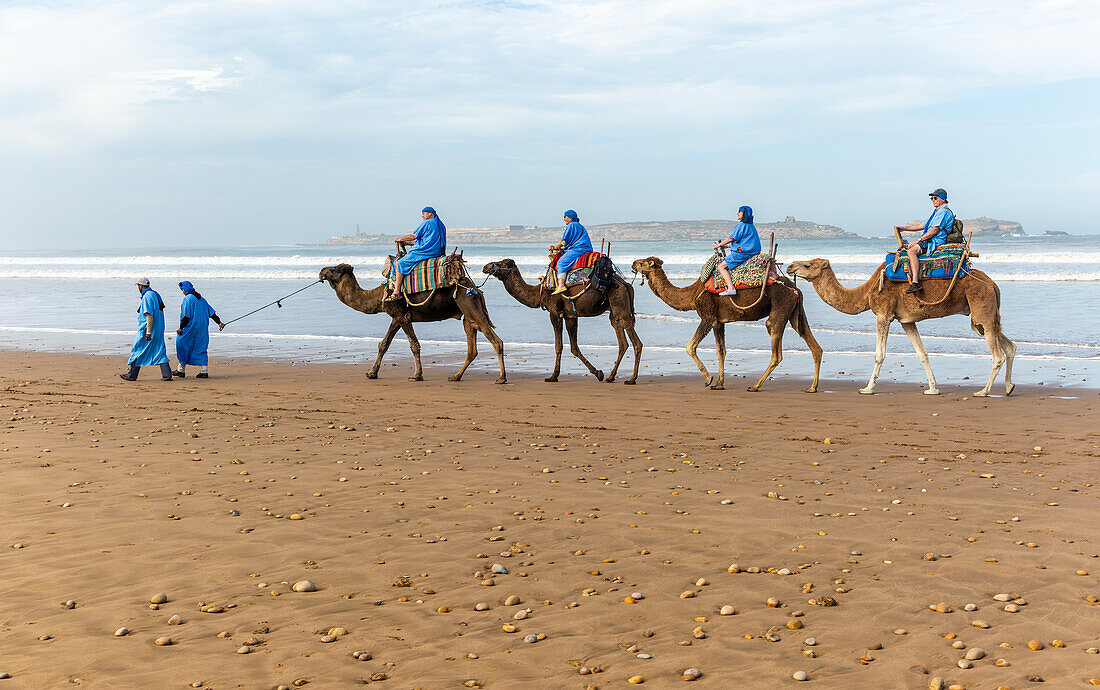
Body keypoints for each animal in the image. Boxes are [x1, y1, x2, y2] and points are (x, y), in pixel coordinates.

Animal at [319, 263, 506, 382]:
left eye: (334, 269)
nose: (321, 271)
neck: (378, 297)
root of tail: (476, 289)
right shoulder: (396, 317)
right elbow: (383, 344)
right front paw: (371, 373)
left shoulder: (402, 316)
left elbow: (414, 345)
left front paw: (417, 375)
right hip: (468, 317)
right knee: (472, 349)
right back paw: (455, 377)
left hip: (470, 306)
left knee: (496, 341)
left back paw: (501, 378)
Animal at [481, 257, 642, 382]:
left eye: (501, 262)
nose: (486, 266)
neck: (539, 292)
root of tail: (626, 285)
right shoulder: (570, 315)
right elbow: (574, 347)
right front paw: (598, 373)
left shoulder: (554, 313)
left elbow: (558, 346)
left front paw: (553, 376)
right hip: (615, 314)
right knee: (623, 343)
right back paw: (611, 377)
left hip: (621, 307)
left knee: (636, 343)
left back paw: (632, 379)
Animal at [633, 256, 822, 391]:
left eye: (642, 262)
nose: (633, 264)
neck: (691, 295)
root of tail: (795, 289)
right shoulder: (718, 322)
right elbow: (721, 351)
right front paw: (719, 384)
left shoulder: (707, 316)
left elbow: (690, 346)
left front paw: (708, 379)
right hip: (795, 312)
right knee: (812, 343)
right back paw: (812, 387)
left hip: (780, 307)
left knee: (776, 347)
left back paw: (755, 386)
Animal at [792, 259, 1012, 396]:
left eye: (808, 264)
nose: (790, 267)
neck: (867, 291)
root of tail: (993, 284)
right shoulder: (906, 321)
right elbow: (922, 353)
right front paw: (933, 389)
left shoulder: (883, 314)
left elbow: (879, 354)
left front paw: (867, 388)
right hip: (983, 317)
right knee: (1009, 346)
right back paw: (1009, 387)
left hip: (981, 308)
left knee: (997, 355)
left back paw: (983, 391)